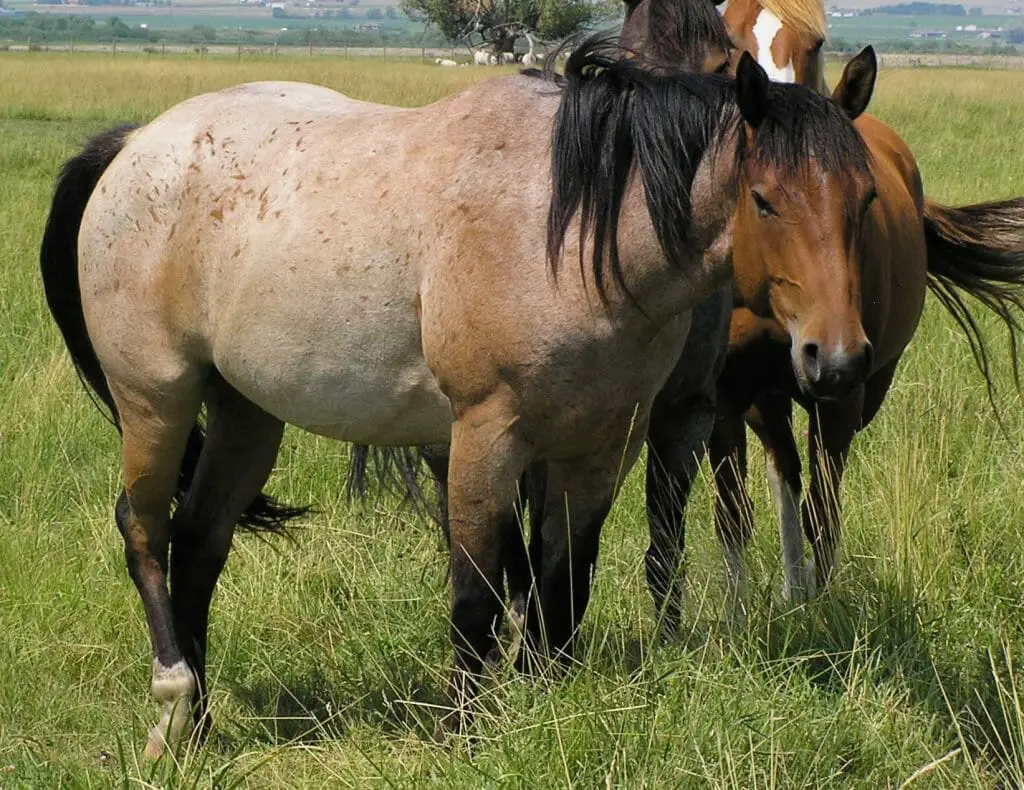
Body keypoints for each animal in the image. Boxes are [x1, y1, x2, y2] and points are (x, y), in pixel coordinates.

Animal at [37, 40, 880, 758]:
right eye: (764, 200)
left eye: (865, 199)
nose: (836, 360)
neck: (570, 232)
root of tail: (135, 145)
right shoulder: (485, 436)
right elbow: (477, 593)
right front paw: (462, 733)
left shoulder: (599, 448)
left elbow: (562, 584)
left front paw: (545, 706)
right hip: (157, 399)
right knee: (144, 530)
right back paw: (173, 703)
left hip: (247, 413)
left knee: (199, 542)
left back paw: (204, 727)